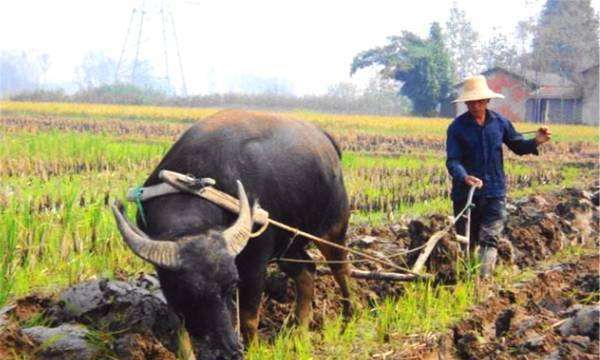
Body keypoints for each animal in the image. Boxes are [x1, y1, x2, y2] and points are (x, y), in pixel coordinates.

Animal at [112, 109, 352, 360]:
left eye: (232, 284)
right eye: (189, 293)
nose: (227, 350)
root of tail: (326, 139)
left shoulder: (255, 266)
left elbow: (248, 318)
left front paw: (253, 350)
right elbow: (179, 327)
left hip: (334, 229)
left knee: (341, 269)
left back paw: (347, 319)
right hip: (289, 246)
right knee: (307, 271)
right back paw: (299, 333)